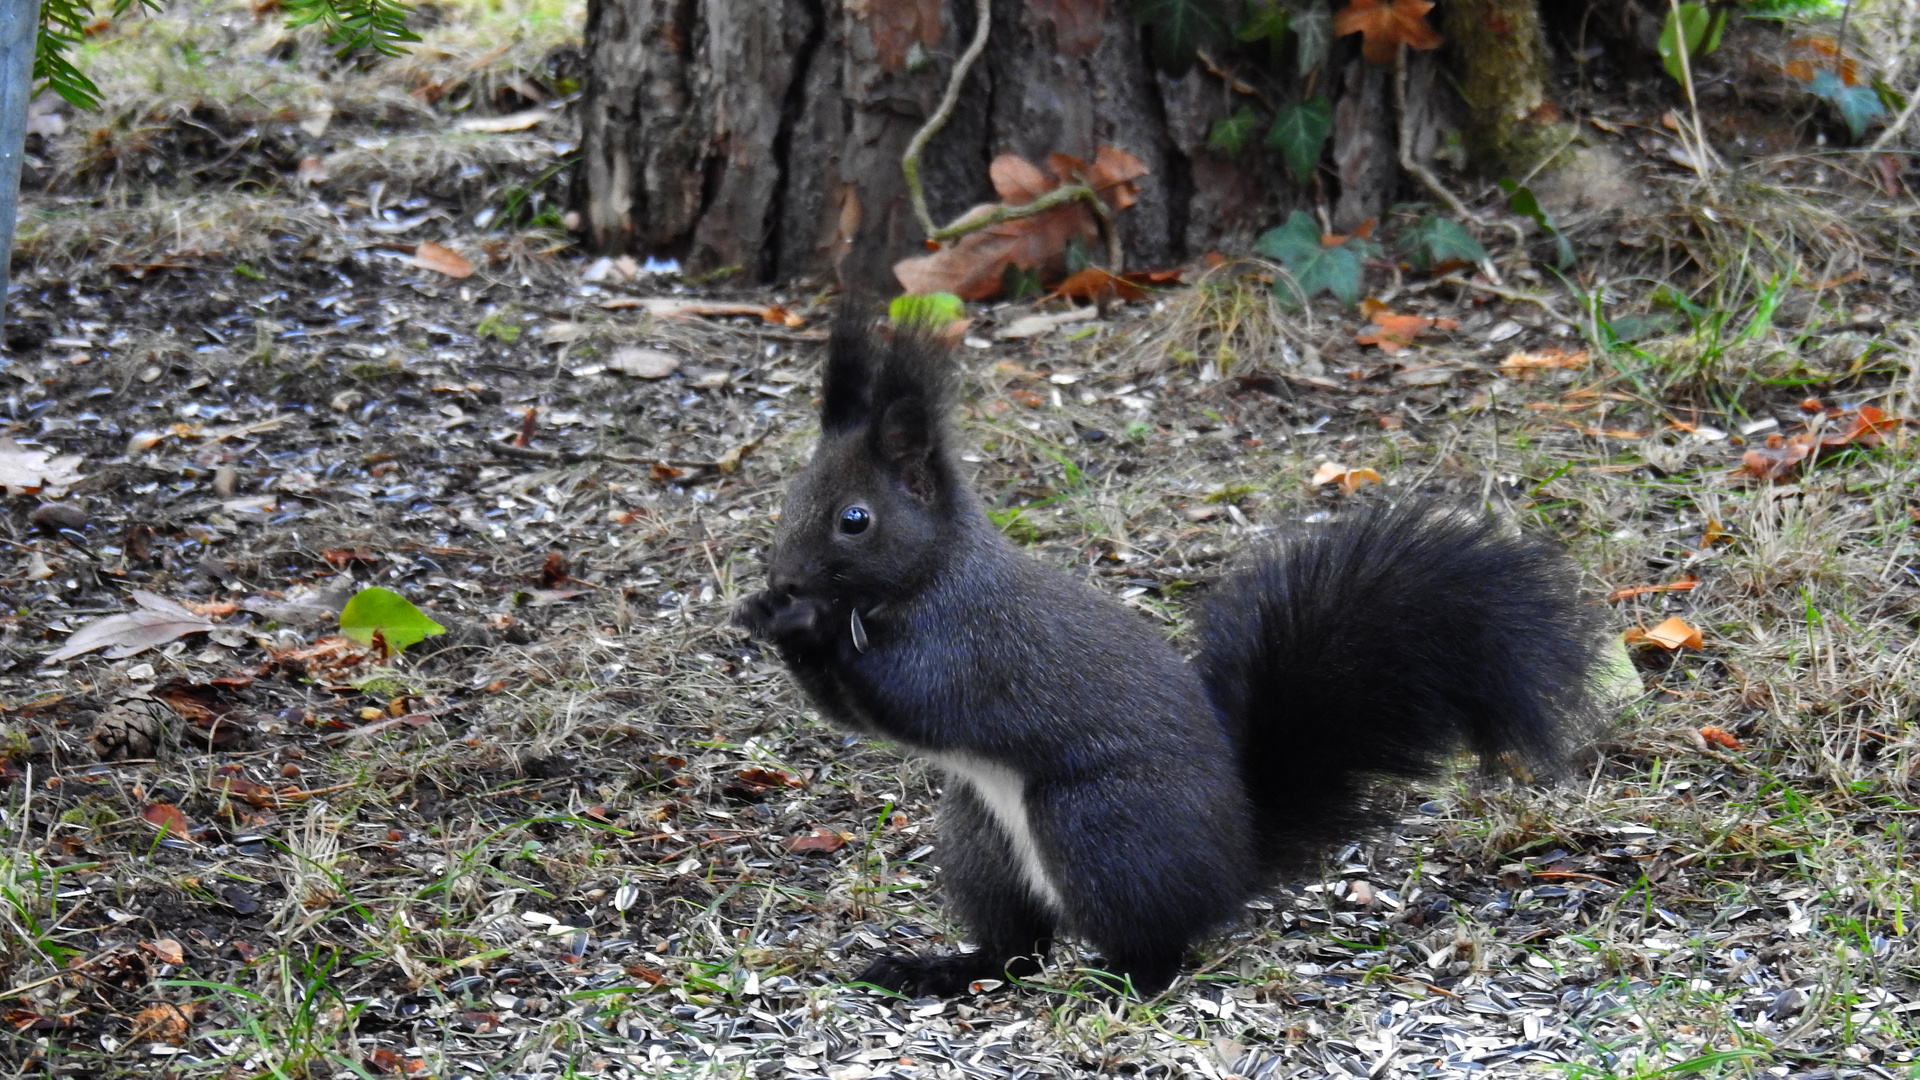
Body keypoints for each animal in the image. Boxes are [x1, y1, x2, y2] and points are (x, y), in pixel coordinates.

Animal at [737, 317, 1605, 991]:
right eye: (790, 498)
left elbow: (912, 697)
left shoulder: (973, 644)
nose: (784, 577)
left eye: (854, 519)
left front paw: (804, 624)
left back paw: (1117, 979)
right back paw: (942, 969)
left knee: (1155, 945)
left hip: (1097, 827)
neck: (925, 579)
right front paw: (765, 613)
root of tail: (1233, 864)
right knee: (1017, 948)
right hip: (979, 836)